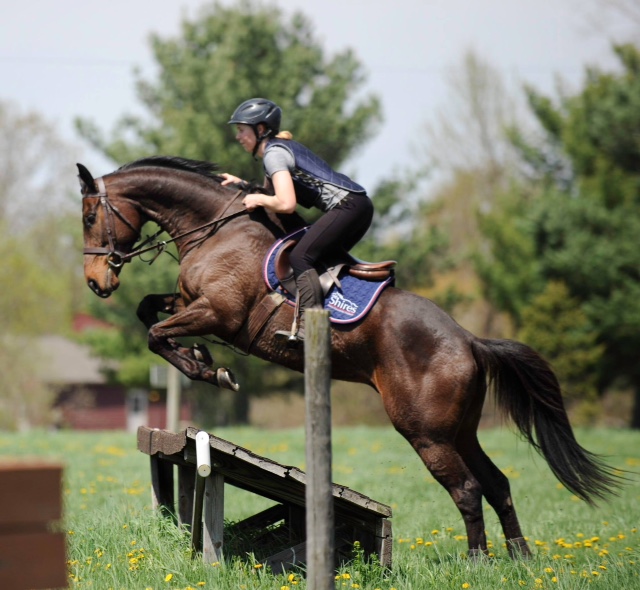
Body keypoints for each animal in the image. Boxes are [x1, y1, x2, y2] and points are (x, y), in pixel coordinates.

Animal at [77, 156, 624, 560]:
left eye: (88, 217)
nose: (96, 283)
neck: (216, 230)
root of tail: (468, 340)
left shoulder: (217, 312)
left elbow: (157, 334)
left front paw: (211, 369)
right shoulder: (191, 303)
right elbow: (150, 312)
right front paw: (201, 358)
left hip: (425, 431)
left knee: (468, 489)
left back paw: (478, 560)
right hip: (459, 430)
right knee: (496, 483)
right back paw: (517, 556)